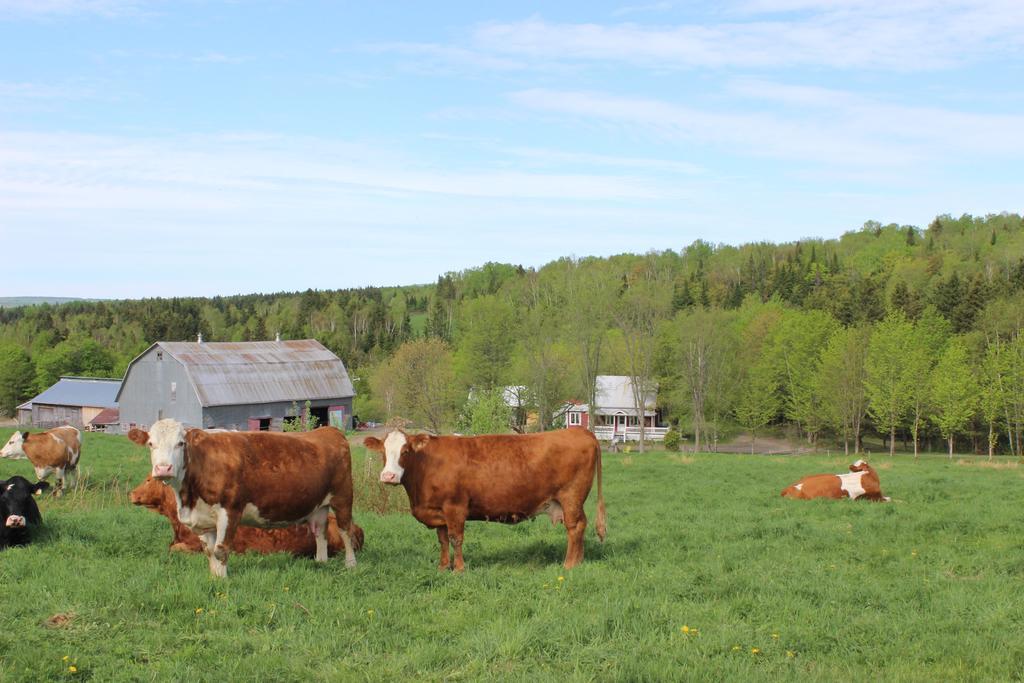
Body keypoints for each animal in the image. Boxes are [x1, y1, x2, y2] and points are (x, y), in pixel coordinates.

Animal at [131, 419, 360, 581]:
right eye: (151, 444)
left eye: (180, 443)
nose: (163, 468)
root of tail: (329, 430)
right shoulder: (204, 520)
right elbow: (209, 552)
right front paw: (214, 579)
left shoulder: (230, 510)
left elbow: (220, 551)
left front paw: (223, 582)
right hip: (319, 505)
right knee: (320, 532)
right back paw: (320, 562)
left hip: (343, 496)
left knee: (345, 530)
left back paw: (350, 565)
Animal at [364, 428, 602, 573]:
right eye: (383, 452)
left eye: (405, 451)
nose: (388, 476)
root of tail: (580, 431)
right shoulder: (438, 511)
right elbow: (443, 541)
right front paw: (443, 567)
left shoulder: (455, 507)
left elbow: (456, 539)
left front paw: (459, 569)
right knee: (581, 525)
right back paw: (578, 562)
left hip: (571, 497)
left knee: (574, 527)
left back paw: (569, 564)